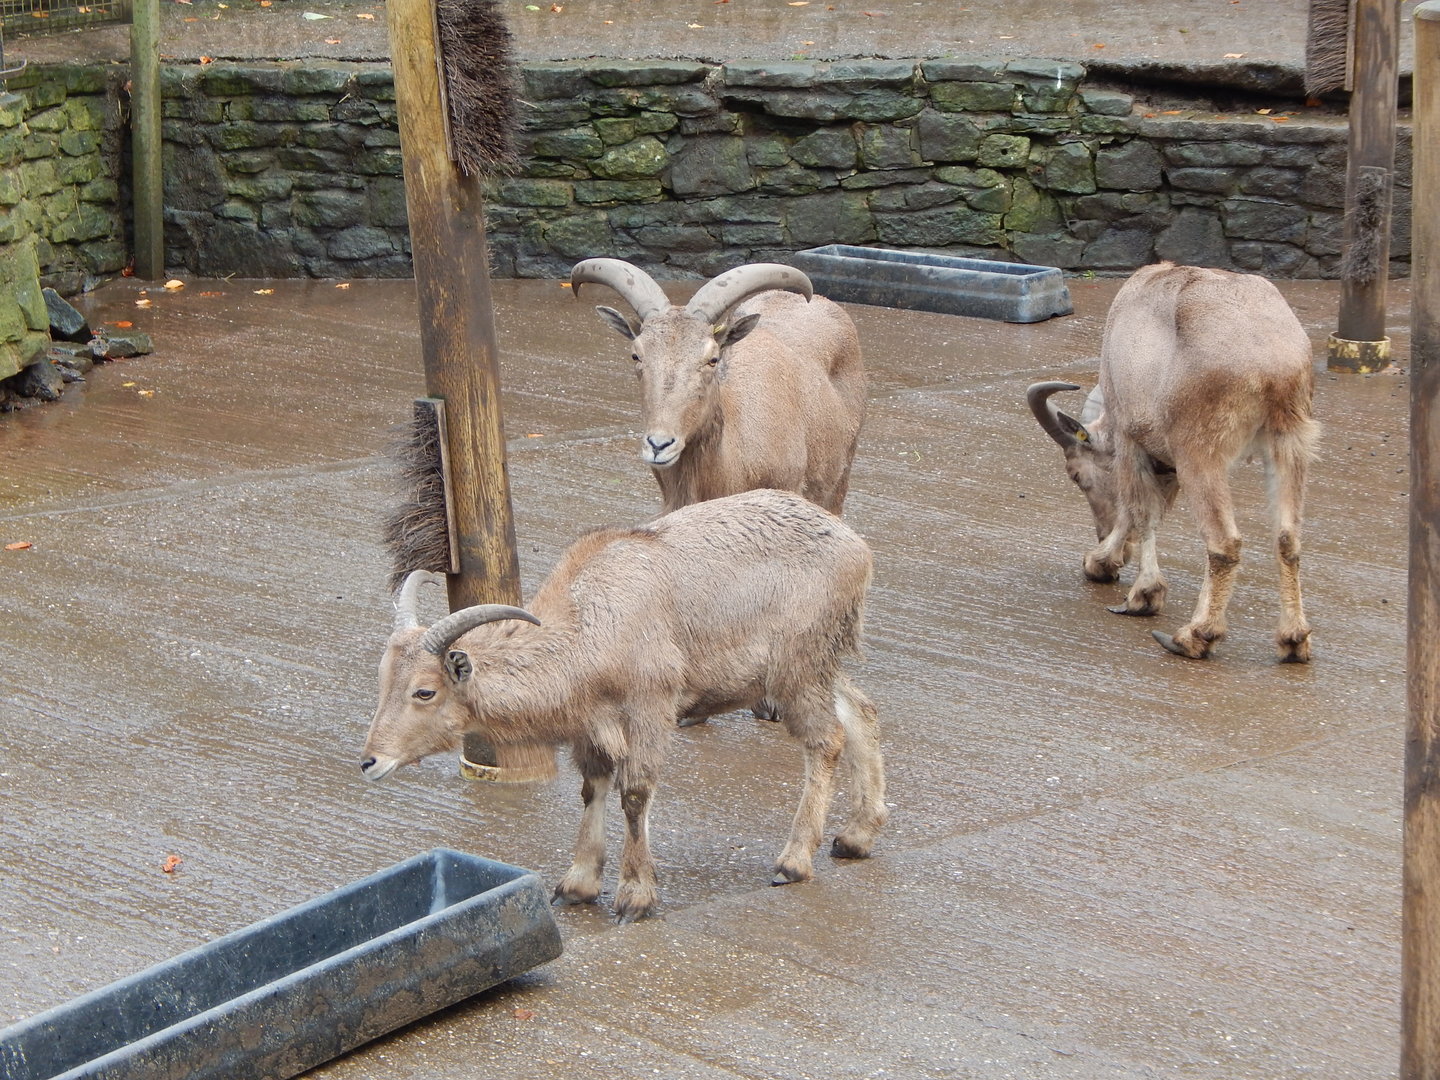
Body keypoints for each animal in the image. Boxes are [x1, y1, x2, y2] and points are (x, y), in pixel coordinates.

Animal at [360, 488, 889, 921]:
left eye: (424, 691)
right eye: (383, 681)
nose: (370, 761)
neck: (591, 623)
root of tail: (857, 547)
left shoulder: (650, 706)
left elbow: (634, 792)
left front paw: (635, 895)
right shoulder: (591, 725)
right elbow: (592, 787)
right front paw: (577, 884)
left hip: (799, 665)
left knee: (826, 739)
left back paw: (794, 861)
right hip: (816, 664)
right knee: (860, 711)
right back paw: (856, 835)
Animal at [1026, 262, 1319, 662]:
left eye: (1076, 475)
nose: (1101, 535)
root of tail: (1270, 363)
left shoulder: (1132, 439)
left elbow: (1140, 510)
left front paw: (1138, 592)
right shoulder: (1166, 464)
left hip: (1200, 452)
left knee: (1224, 543)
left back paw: (1193, 636)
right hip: (1289, 441)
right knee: (1288, 539)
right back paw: (1293, 639)